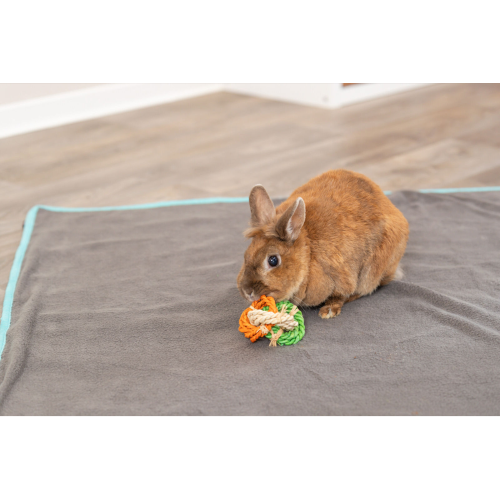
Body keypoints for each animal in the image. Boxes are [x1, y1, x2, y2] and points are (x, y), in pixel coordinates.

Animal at [238, 169, 410, 316]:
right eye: (246, 255)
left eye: (273, 260)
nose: (247, 291)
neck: (308, 255)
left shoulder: (342, 277)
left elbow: (340, 295)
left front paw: (328, 311)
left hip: (374, 269)